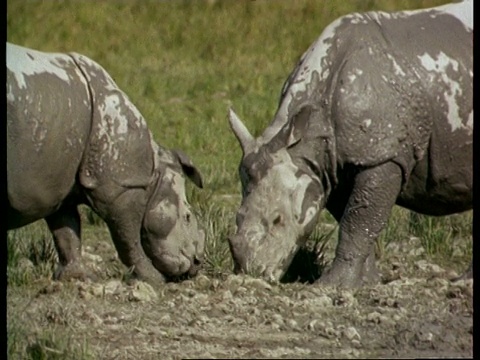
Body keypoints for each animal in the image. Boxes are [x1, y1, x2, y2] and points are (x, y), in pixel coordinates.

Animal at [6, 42, 204, 286]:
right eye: (187, 217)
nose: (196, 264)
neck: (153, 171)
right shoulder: (119, 186)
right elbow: (127, 236)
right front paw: (153, 279)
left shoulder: (60, 179)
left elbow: (67, 229)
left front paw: (76, 277)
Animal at [228, 0, 472, 286]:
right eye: (237, 217)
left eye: (278, 220)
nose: (251, 273)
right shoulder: (328, 165)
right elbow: (353, 217)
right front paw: (366, 282)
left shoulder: (382, 154)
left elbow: (358, 219)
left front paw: (332, 285)